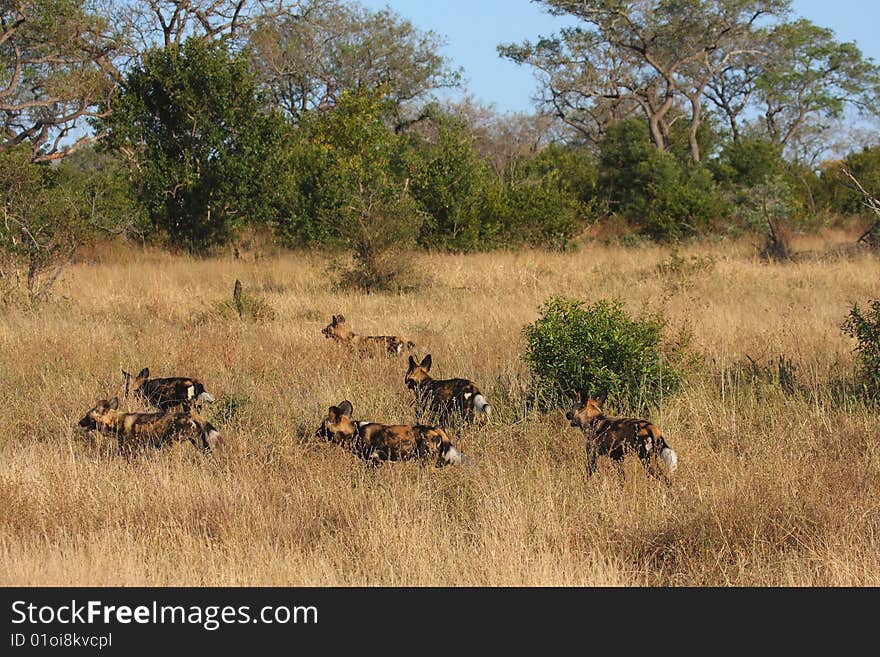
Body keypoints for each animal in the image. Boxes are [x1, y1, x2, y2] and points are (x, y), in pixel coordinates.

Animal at [78, 394, 222, 452]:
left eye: (87, 416)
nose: (79, 422)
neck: (116, 420)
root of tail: (191, 415)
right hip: (199, 443)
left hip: (171, 443)